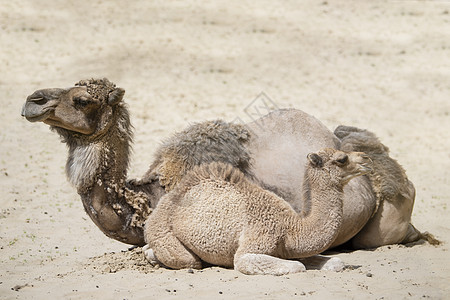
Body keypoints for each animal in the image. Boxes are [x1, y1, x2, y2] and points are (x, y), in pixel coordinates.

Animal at [145, 149, 372, 276]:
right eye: (342, 159)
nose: (367, 159)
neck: (291, 228)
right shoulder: (259, 238)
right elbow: (296, 266)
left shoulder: (286, 249)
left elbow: (335, 262)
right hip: (162, 230)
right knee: (186, 259)